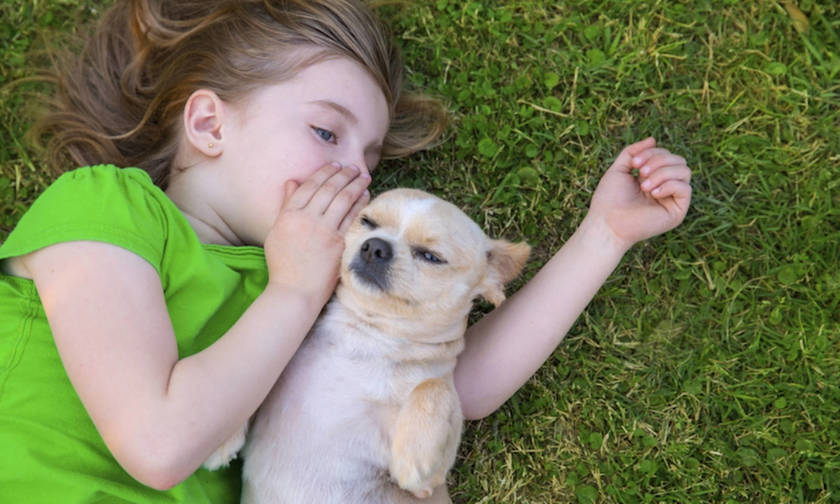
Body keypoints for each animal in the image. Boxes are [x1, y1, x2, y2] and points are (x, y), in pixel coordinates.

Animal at [204, 189, 528, 504]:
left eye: (431, 257)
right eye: (367, 222)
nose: (375, 246)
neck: (366, 337)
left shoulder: (430, 484)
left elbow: (434, 386)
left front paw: (414, 455)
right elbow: (253, 378)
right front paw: (222, 435)